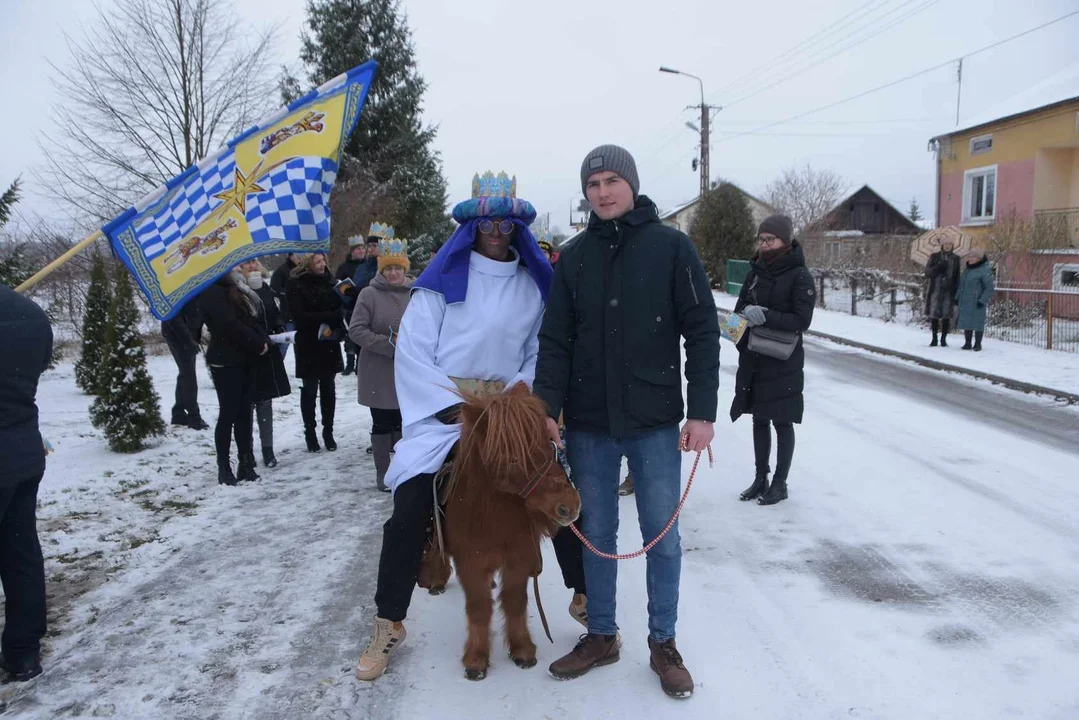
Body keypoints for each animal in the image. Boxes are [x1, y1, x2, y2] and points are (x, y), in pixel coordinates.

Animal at [416, 382, 582, 682]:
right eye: (512, 458)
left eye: (547, 442)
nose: (570, 505)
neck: (493, 521)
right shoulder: (471, 563)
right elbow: (479, 607)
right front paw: (476, 658)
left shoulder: (519, 559)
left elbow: (514, 601)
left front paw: (522, 649)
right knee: (436, 549)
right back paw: (436, 579)